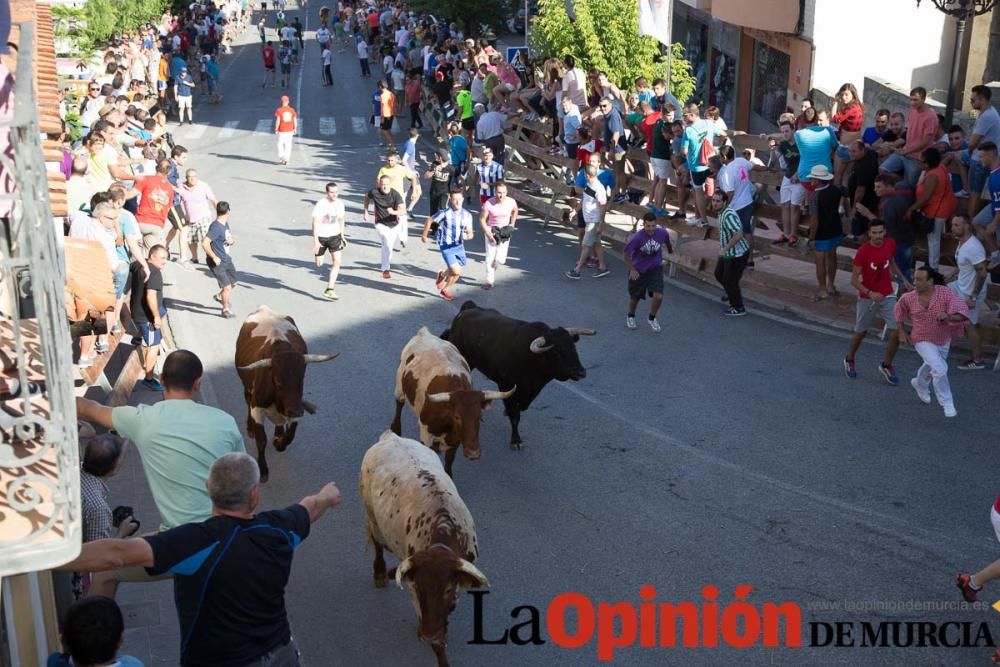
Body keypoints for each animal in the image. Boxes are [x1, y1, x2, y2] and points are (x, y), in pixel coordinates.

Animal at [235, 306, 340, 482]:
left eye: (302, 378)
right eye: (277, 381)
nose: (295, 411)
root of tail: (264, 308)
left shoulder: (295, 405)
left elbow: (291, 435)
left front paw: (280, 443)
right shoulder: (258, 408)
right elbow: (261, 440)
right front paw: (263, 469)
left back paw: (278, 434)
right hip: (246, 388)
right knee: (246, 401)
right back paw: (250, 427)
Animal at [362, 430, 490, 664]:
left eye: (447, 589)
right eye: (418, 588)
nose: (428, 634)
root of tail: (391, 437)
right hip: (372, 516)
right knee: (377, 544)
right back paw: (380, 573)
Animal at [390, 328, 516, 474]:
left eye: (480, 416)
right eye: (457, 417)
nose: (473, 453)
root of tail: (424, 332)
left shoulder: (455, 440)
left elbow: (449, 463)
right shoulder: (426, 435)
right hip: (399, 387)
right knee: (399, 405)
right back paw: (395, 429)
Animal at [440, 302, 592, 448]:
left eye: (573, 348)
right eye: (556, 352)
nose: (581, 372)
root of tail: (468, 308)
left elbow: (520, 408)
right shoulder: (506, 385)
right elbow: (514, 414)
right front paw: (516, 440)